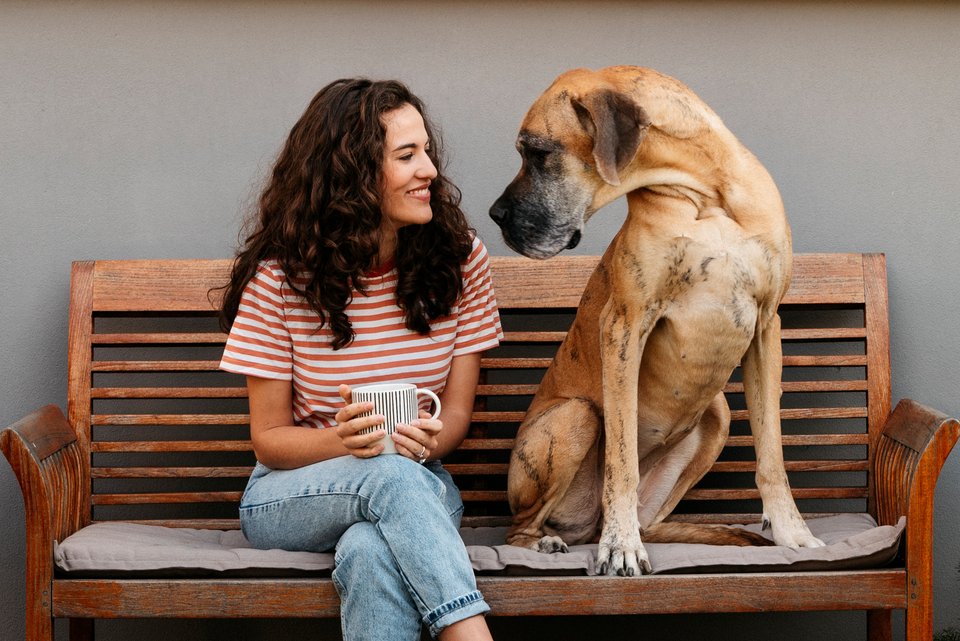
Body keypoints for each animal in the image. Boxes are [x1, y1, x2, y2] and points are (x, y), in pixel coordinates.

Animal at [492, 66, 820, 576]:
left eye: (539, 153)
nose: (495, 214)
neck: (707, 193)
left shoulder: (767, 328)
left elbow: (772, 455)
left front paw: (792, 533)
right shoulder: (625, 325)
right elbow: (621, 460)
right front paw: (621, 546)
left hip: (718, 415)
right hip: (575, 416)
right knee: (519, 528)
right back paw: (551, 541)